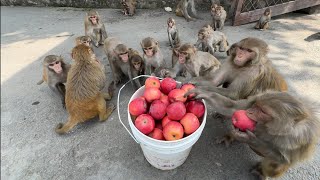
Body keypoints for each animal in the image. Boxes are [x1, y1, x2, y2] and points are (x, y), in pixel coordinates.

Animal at [185, 90, 320, 180]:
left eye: (263, 111)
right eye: (256, 105)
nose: (249, 112)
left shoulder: (299, 138)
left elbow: (284, 159)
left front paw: (251, 139)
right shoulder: (255, 98)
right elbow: (233, 107)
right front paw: (205, 94)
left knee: (275, 166)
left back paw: (261, 172)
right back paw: (230, 135)